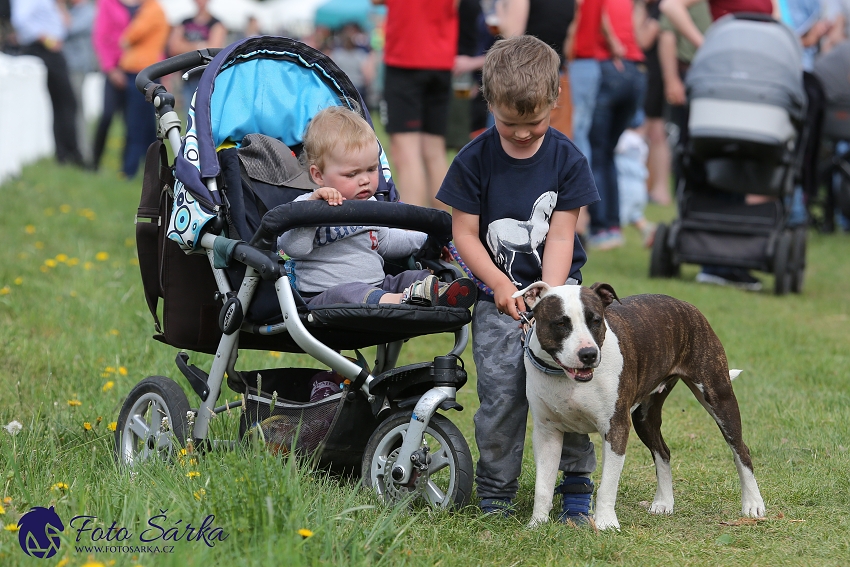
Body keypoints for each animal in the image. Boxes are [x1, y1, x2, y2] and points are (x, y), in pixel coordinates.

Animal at [512, 284, 764, 532]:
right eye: (561, 323)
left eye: (596, 320)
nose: (589, 354)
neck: (564, 376)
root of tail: (686, 305)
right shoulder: (547, 433)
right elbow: (543, 486)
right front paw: (537, 524)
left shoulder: (615, 428)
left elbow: (607, 484)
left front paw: (606, 523)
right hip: (645, 417)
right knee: (663, 451)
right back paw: (663, 502)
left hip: (719, 397)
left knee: (741, 450)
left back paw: (753, 504)